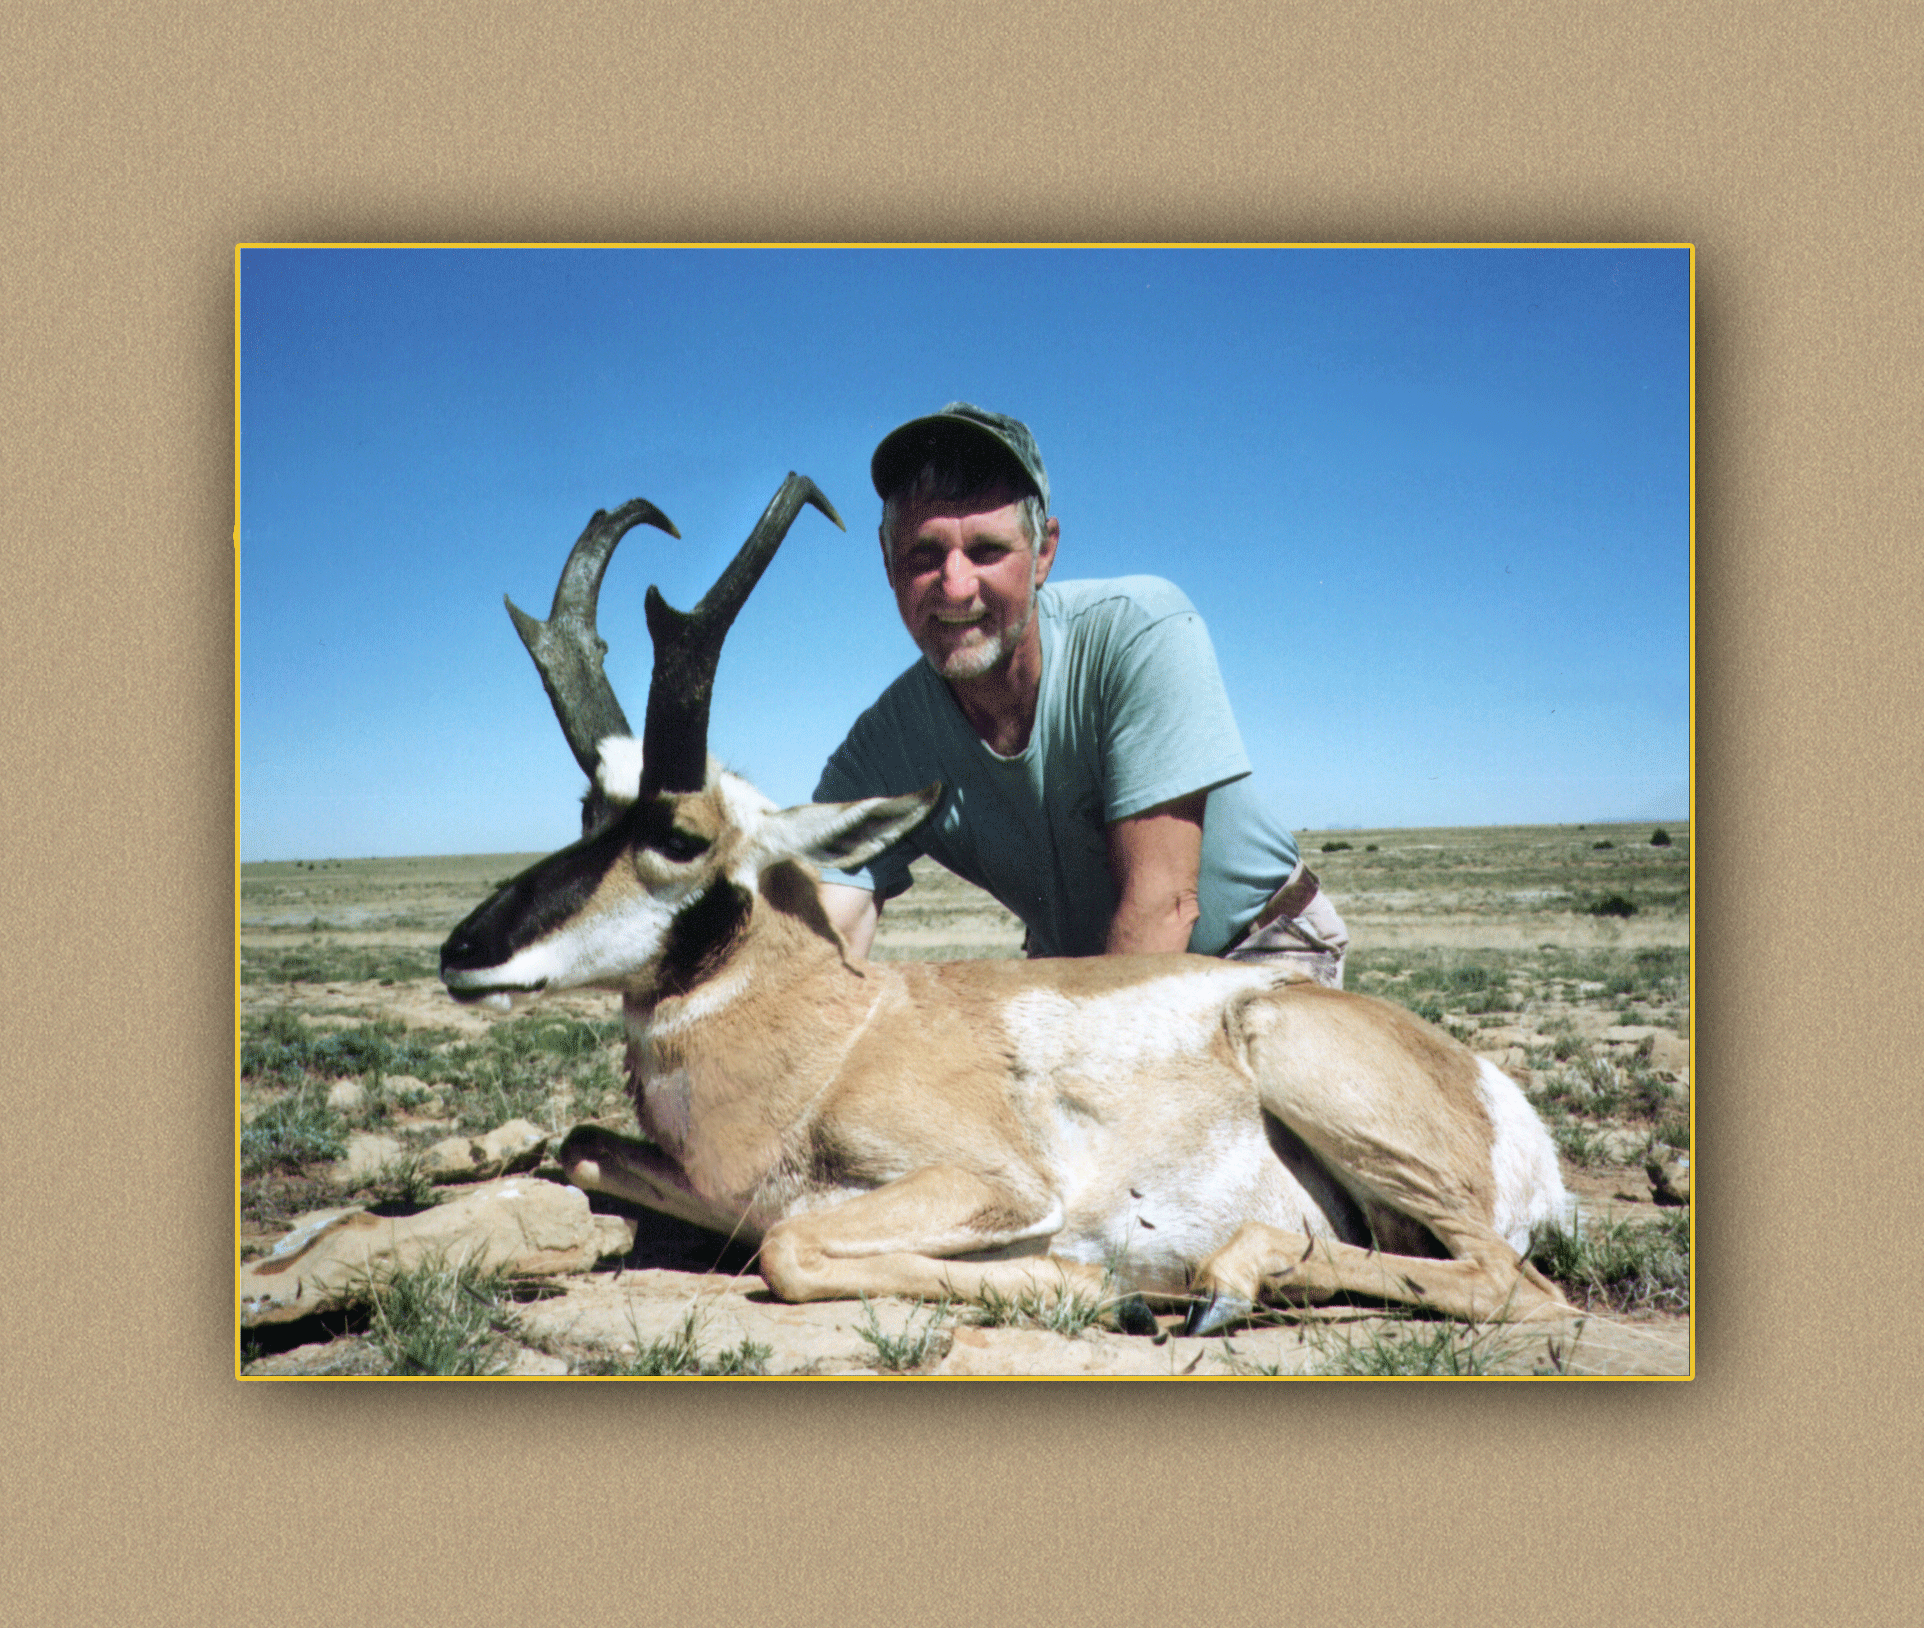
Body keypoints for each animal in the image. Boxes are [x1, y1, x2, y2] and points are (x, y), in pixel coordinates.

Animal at [441, 475, 1577, 1333]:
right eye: (588, 807)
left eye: (678, 836)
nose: (464, 952)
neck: (840, 1030)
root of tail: (1501, 1102)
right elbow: (585, 1145)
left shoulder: (994, 1184)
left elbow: (791, 1245)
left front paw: (1096, 1286)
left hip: (1299, 1056)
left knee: (1510, 1283)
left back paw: (1220, 1282)